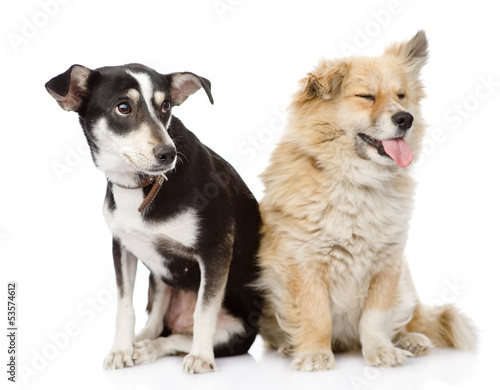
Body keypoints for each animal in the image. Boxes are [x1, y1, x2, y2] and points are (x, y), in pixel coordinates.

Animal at [45, 64, 264, 374]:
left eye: (166, 106)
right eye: (123, 107)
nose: (168, 154)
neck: (142, 185)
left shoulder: (216, 249)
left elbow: (203, 312)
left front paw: (201, 357)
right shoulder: (122, 247)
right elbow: (125, 306)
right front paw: (121, 350)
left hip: (237, 331)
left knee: (176, 338)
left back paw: (153, 349)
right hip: (158, 276)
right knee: (158, 321)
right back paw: (140, 342)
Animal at [258, 31, 476, 372]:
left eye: (401, 95)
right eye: (366, 97)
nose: (405, 118)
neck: (356, 181)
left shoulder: (387, 267)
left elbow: (375, 320)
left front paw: (380, 351)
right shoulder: (304, 267)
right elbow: (316, 316)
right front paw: (314, 353)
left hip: (406, 285)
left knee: (410, 320)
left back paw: (411, 340)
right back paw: (289, 346)